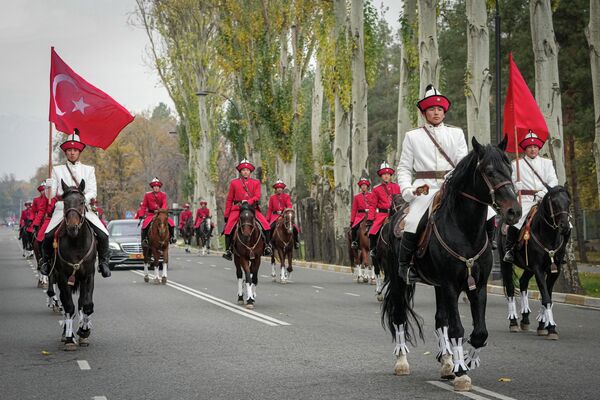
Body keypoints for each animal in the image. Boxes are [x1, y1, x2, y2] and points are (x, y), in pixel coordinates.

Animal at [52, 180, 97, 352]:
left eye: (82, 202)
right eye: (65, 202)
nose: (72, 228)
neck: (76, 242)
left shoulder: (88, 276)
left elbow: (87, 305)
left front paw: (84, 331)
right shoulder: (63, 277)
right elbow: (69, 307)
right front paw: (70, 338)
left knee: (81, 303)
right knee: (67, 304)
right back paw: (67, 332)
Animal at [384, 137, 520, 390]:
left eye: (509, 170)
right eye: (489, 171)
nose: (514, 211)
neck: (466, 230)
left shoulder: (478, 285)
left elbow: (480, 332)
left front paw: (465, 360)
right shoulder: (449, 284)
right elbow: (457, 328)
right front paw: (461, 372)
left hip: (437, 286)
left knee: (440, 320)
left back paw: (446, 361)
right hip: (399, 280)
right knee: (398, 316)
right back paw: (402, 362)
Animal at [500, 186, 568, 340]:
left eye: (568, 201)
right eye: (554, 202)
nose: (565, 226)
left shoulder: (554, 270)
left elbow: (547, 295)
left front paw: (543, 324)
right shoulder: (538, 269)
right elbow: (546, 297)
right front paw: (551, 328)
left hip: (528, 268)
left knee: (523, 282)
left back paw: (525, 318)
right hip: (505, 264)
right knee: (511, 289)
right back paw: (513, 322)